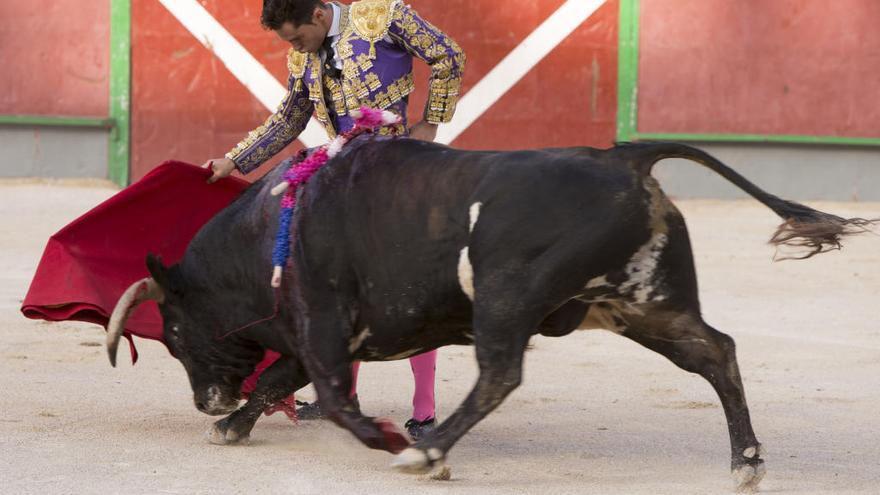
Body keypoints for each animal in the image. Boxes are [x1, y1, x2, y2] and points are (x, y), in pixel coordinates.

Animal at [106, 140, 868, 492]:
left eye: (175, 333)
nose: (206, 402)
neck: (273, 228)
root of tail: (625, 155)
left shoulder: (321, 324)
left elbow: (327, 391)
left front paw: (385, 437)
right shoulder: (305, 334)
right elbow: (276, 382)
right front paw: (232, 427)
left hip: (509, 299)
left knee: (499, 374)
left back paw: (426, 450)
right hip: (641, 304)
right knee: (717, 352)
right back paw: (746, 461)